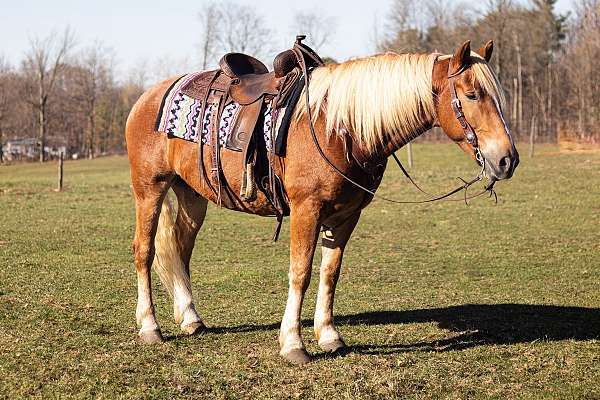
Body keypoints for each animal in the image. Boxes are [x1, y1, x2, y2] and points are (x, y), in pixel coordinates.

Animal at [125, 40, 516, 366]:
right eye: (471, 94)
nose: (506, 160)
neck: (339, 128)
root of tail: (147, 97)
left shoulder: (346, 216)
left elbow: (330, 272)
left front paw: (329, 336)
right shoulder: (306, 210)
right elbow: (301, 272)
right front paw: (293, 344)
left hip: (193, 196)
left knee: (180, 250)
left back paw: (191, 318)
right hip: (149, 189)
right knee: (144, 250)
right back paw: (150, 327)